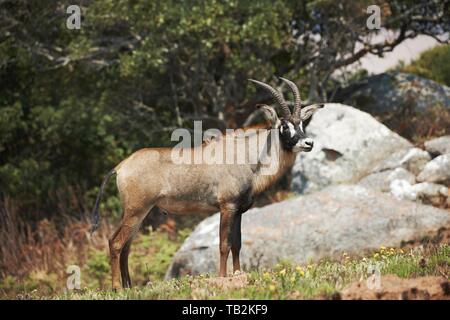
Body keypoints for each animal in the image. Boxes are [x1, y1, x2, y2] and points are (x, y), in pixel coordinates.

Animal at [90, 77, 324, 290]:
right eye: (284, 126)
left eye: (300, 123)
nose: (308, 143)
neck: (248, 157)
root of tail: (121, 166)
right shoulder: (227, 207)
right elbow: (224, 244)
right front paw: (222, 277)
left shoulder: (239, 210)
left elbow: (237, 243)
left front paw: (238, 274)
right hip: (136, 210)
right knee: (117, 243)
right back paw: (117, 287)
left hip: (137, 212)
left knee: (124, 245)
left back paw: (129, 286)